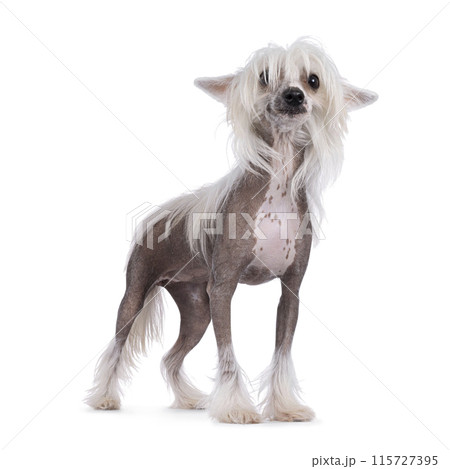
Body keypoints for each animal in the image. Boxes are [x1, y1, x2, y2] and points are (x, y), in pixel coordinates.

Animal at [86, 38, 377, 423]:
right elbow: (227, 353)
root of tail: (156, 216)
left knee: (171, 357)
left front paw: (284, 407)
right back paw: (104, 397)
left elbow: (282, 352)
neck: (279, 182)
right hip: (136, 295)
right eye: (265, 77)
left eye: (313, 80)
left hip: (197, 308)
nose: (294, 95)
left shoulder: (290, 291)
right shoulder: (223, 289)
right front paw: (236, 407)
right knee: (116, 346)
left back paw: (188, 400)